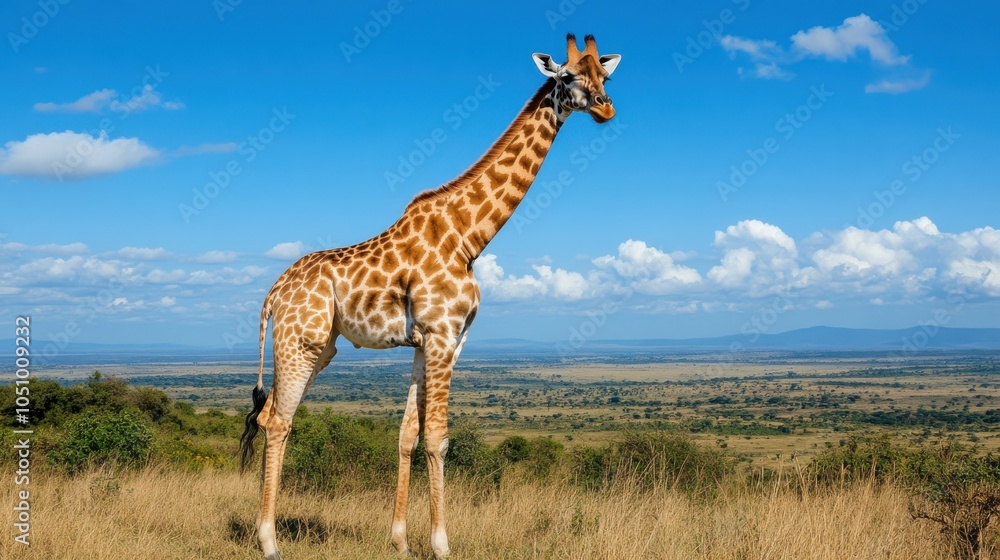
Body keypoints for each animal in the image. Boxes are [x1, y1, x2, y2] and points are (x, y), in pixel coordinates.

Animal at [238, 33, 621, 559]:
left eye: (605, 75)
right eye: (566, 76)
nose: (606, 108)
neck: (470, 237)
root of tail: (275, 291)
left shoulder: (439, 341)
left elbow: (408, 434)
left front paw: (399, 540)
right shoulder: (441, 333)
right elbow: (438, 438)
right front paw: (441, 543)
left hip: (319, 348)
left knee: (270, 414)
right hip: (299, 341)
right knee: (278, 420)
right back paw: (269, 540)